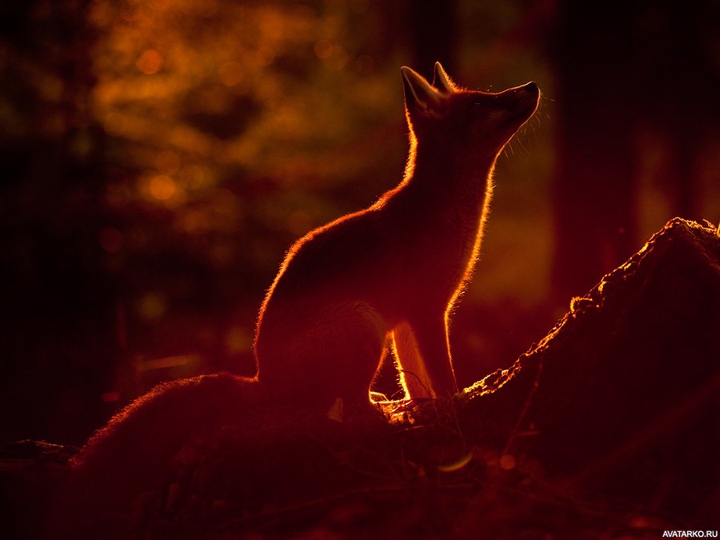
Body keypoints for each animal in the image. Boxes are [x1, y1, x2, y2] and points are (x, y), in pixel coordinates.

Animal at [58, 64, 539, 537]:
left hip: (374, 329)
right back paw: (378, 412)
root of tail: (263, 376)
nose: (532, 86)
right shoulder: (426, 311)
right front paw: (455, 409)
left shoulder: (406, 321)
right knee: (347, 411)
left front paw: (425, 409)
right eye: (480, 103)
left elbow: (416, 382)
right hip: (363, 319)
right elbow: (443, 378)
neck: (445, 214)